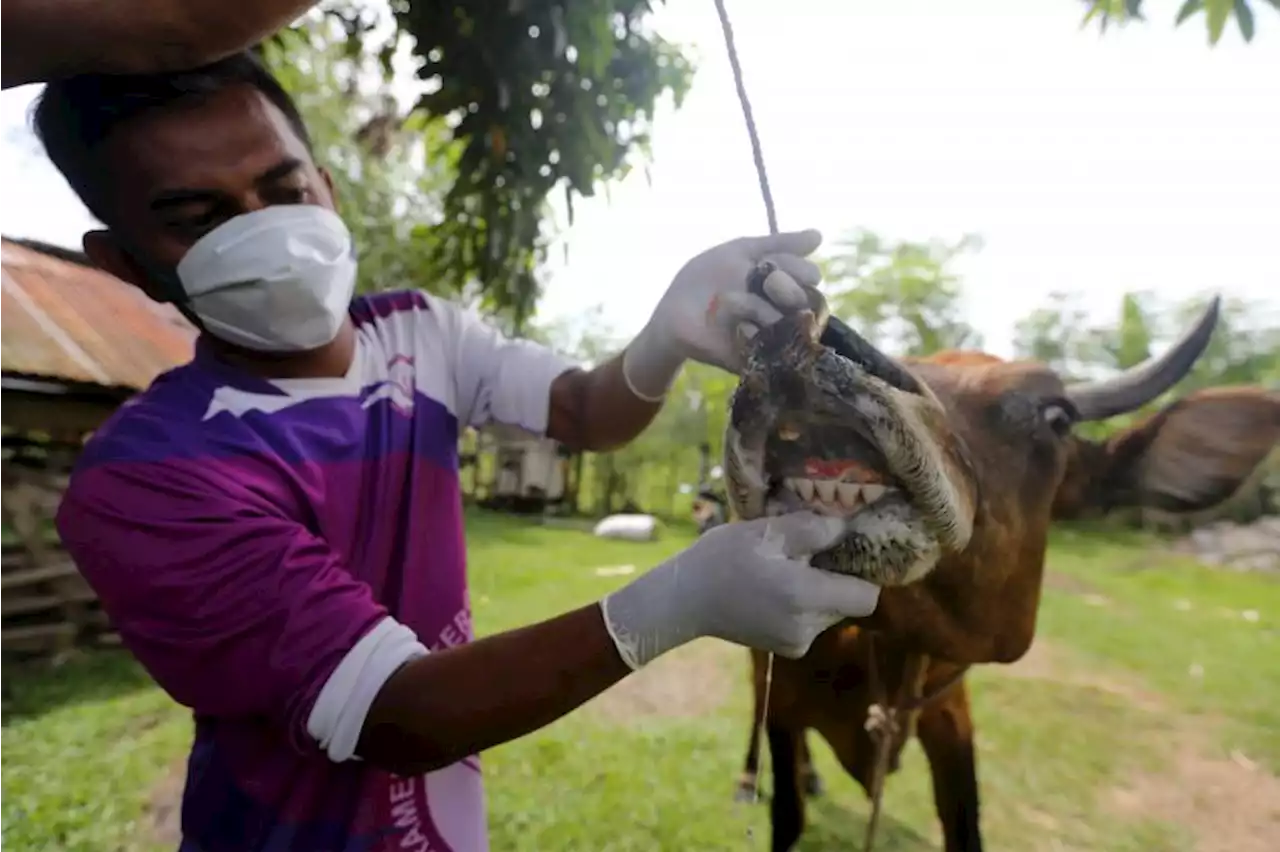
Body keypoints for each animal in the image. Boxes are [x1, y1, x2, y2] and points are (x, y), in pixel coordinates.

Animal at [721, 294, 1280, 849]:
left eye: (1057, 417)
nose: (812, 337)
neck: (886, 647)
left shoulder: (950, 717)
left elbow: (966, 826)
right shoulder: (784, 699)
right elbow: (788, 814)